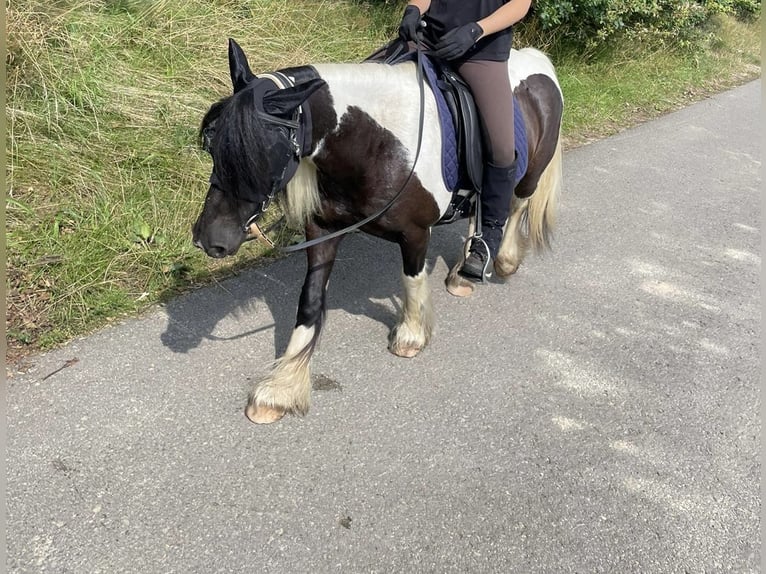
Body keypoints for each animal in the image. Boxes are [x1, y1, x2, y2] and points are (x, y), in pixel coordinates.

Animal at [192, 39, 564, 424]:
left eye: (268, 153)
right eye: (212, 145)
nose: (211, 240)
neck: (377, 144)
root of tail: (536, 59)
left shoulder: (416, 233)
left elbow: (412, 280)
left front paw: (411, 336)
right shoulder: (323, 230)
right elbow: (310, 302)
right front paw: (281, 390)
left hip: (528, 172)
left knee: (514, 205)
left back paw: (500, 261)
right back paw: (464, 270)